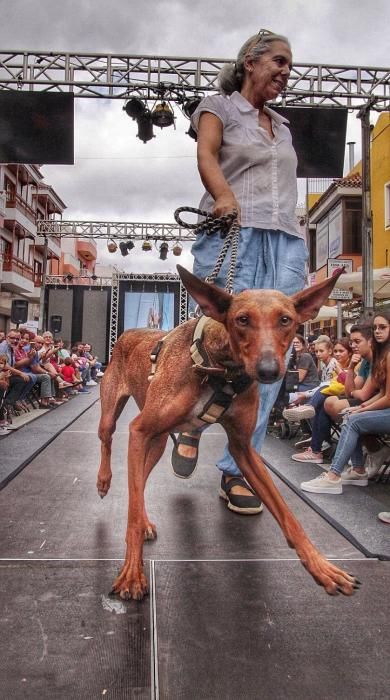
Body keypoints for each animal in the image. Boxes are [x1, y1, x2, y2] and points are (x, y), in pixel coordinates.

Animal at [97, 266, 360, 600]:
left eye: (285, 320)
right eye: (242, 319)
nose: (269, 371)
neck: (222, 369)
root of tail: (128, 333)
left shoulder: (242, 448)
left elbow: (287, 514)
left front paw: (322, 567)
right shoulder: (139, 429)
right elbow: (129, 514)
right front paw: (132, 573)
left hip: (155, 444)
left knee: (140, 483)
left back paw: (144, 519)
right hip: (116, 419)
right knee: (109, 444)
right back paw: (104, 481)